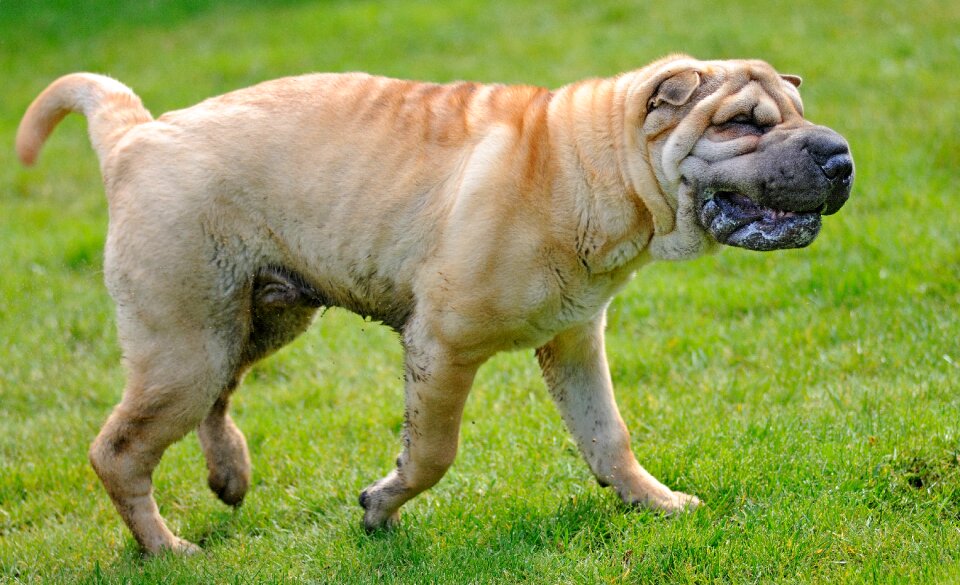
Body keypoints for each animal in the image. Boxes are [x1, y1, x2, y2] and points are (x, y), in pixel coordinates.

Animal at [16, 53, 856, 552]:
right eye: (742, 122)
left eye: (797, 112)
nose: (841, 155)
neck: (586, 164)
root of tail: (137, 136)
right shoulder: (443, 345)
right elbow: (432, 451)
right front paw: (380, 507)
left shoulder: (575, 339)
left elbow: (608, 436)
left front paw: (654, 503)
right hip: (186, 338)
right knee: (120, 448)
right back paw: (168, 548)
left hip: (259, 316)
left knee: (215, 400)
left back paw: (230, 476)